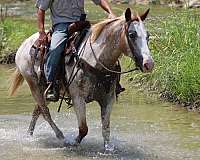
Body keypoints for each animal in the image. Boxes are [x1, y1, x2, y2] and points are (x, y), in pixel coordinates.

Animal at [9, 8, 153, 151]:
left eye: (148, 36)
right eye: (132, 34)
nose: (149, 64)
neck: (95, 59)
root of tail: (24, 45)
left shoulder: (108, 99)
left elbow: (106, 129)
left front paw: (108, 149)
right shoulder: (78, 98)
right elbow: (83, 129)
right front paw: (72, 143)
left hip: (45, 91)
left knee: (37, 111)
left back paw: (29, 134)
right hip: (34, 86)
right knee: (45, 112)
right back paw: (61, 137)